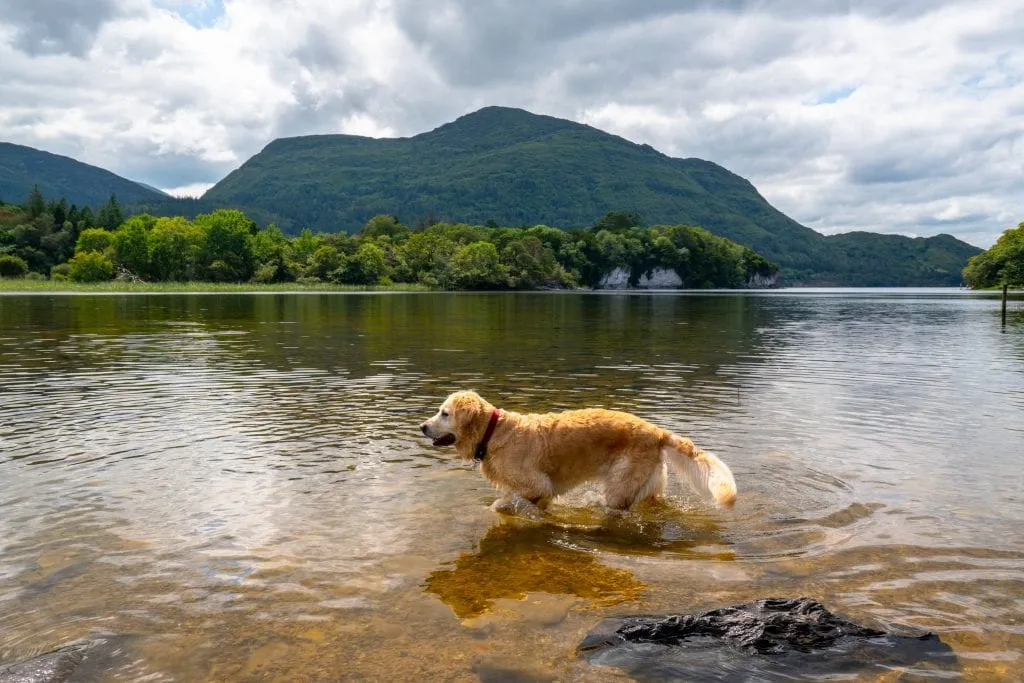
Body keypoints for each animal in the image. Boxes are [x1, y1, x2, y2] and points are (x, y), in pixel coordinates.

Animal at [417, 389, 737, 511]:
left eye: (444, 413)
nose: (421, 426)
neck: (494, 432)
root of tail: (657, 431)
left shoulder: (537, 484)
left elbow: (505, 502)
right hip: (650, 483)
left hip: (621, 484)